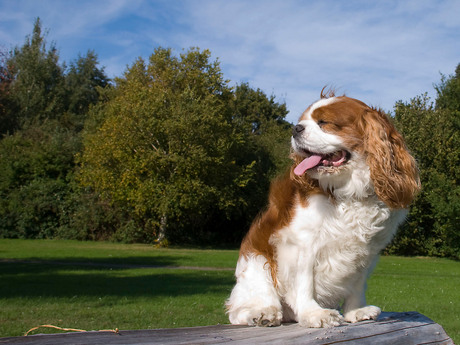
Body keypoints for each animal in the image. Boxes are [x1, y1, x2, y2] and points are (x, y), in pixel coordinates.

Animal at [226, 90, 420, 326]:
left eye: (324, 123)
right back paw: (263, 313)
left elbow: (357, 285)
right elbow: (304, 283)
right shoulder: (301, 244)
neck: (347, 192)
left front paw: (356, 311)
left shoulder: (367, 252)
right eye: (301, 122)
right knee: (242, 307)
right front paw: (314, 313)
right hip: (256, 261)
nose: (295, 128)